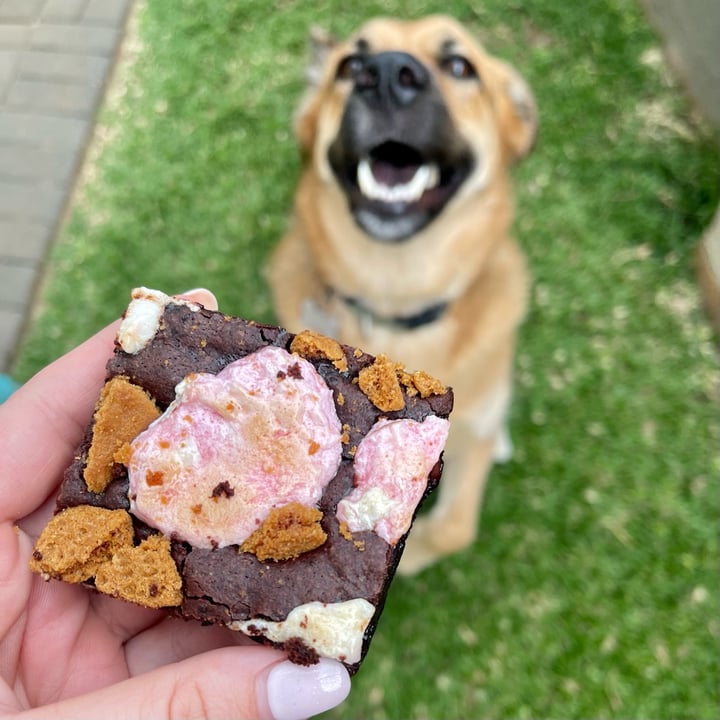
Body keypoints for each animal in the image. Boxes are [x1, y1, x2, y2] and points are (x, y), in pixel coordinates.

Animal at [268, 14, 536, 572]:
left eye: (459, 66)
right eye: (350, 65)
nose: (387, 75)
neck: (394, 294)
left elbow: (456, 528)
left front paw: (409, 556)